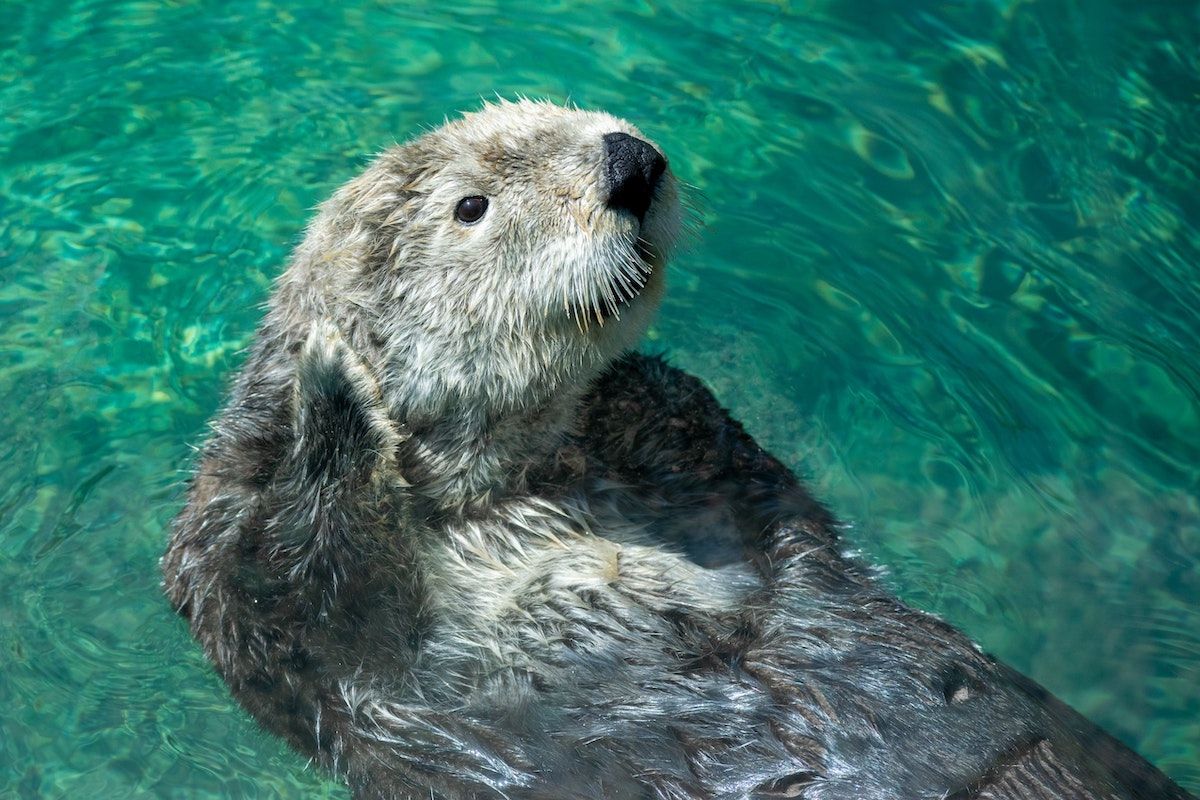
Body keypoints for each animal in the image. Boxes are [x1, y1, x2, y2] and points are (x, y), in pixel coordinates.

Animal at [164, 101, 1195, 800]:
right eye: (471, 206)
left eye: (567, 114)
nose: (630, 159)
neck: (513, 487)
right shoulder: (254, 593)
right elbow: (306, 584)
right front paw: (333, 389)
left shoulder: (697, 445)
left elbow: (767, 511)